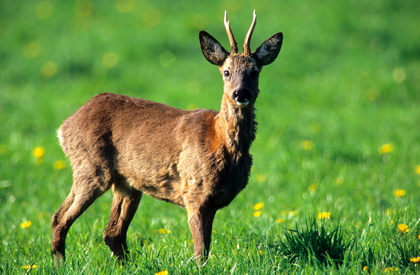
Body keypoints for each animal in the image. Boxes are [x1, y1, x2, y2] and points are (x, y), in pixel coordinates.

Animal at [51, 10, 282, 266]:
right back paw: (61, 263)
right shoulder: (194, 191)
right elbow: (200, 251)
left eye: (255, 71)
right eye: (226, 72)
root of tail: (64, 126)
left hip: (127, 183)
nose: (240, 93)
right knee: (60, 218)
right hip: (90, 167)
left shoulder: (211, 201)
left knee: (112, 233)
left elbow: (206, 247)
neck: (221, 142)